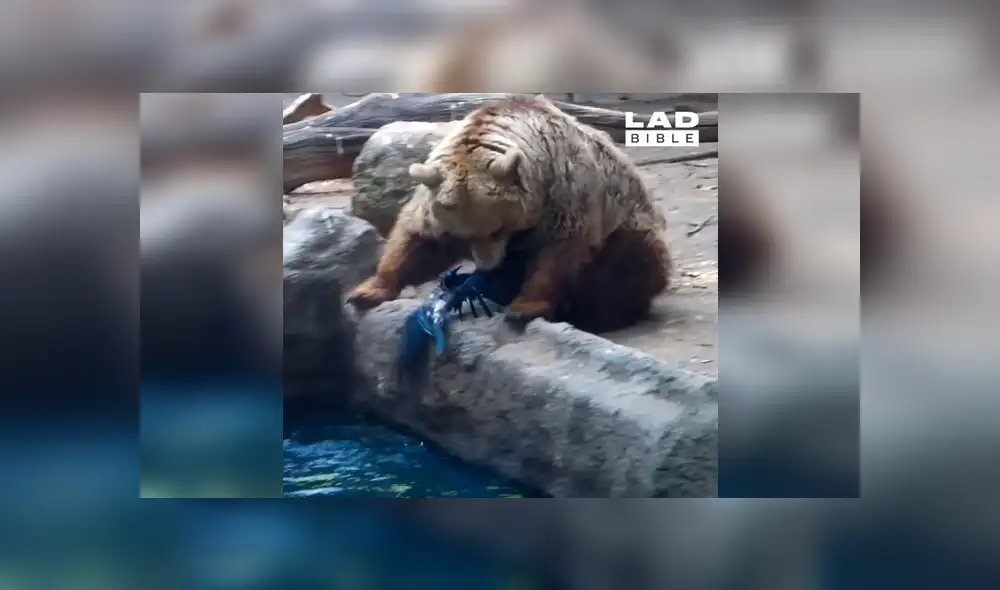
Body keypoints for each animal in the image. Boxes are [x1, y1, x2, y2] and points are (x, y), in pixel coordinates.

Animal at [346, 95, 671, 334]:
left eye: (497, 229)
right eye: (462, 234)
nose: (487, 265)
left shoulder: (564, 192)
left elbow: (559, 252)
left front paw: (524, 308)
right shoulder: (437, 205)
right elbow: (417, 240)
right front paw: (367, 291)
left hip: (628, 228)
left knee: (627, 266)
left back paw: (599, 312)